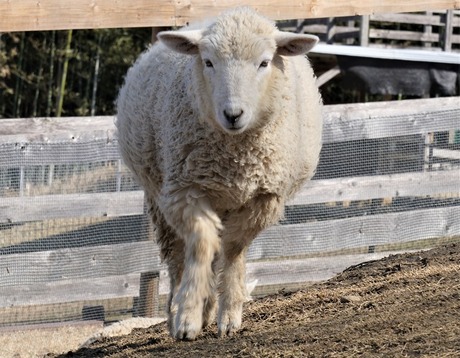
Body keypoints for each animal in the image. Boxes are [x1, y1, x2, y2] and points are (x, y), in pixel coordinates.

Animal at [116, 7, 324, 340]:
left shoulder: (265, 198)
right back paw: (179, 310)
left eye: (264, 62)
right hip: (159, 199)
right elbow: (202, 244)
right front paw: (188, 317)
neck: (235, 158)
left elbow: (233, 248)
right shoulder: (183, 191)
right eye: (208, 62)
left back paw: (210, 307)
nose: (233, 114)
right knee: (178, 257)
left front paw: (228, 315)